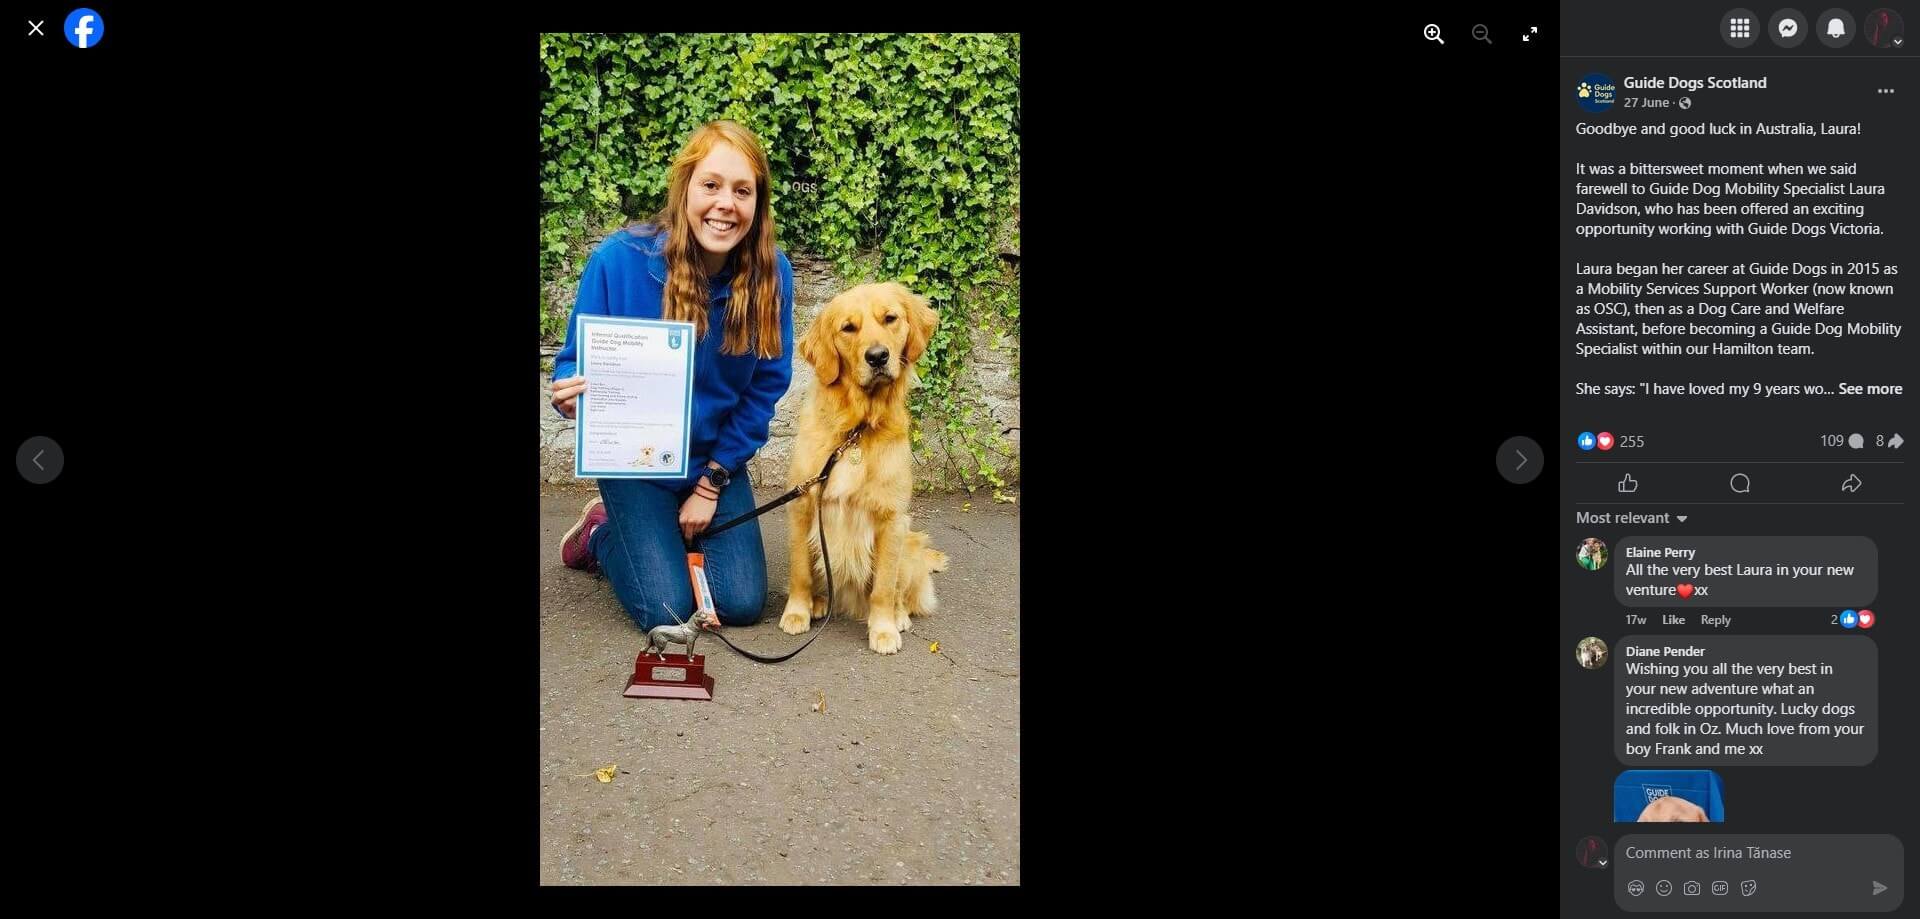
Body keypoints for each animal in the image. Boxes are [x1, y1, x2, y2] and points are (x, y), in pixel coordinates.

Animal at [779, 282, 952, 656]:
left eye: (890, 319)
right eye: (848, 328)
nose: (877, 357)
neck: (856, 431)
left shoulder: (891, 518)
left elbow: (884, 587)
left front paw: (883, 629)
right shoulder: (802, 504)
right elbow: (800, 571)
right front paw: (796, 612)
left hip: (907, 542)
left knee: (900, 591)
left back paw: (898, 617)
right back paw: (818, 602)